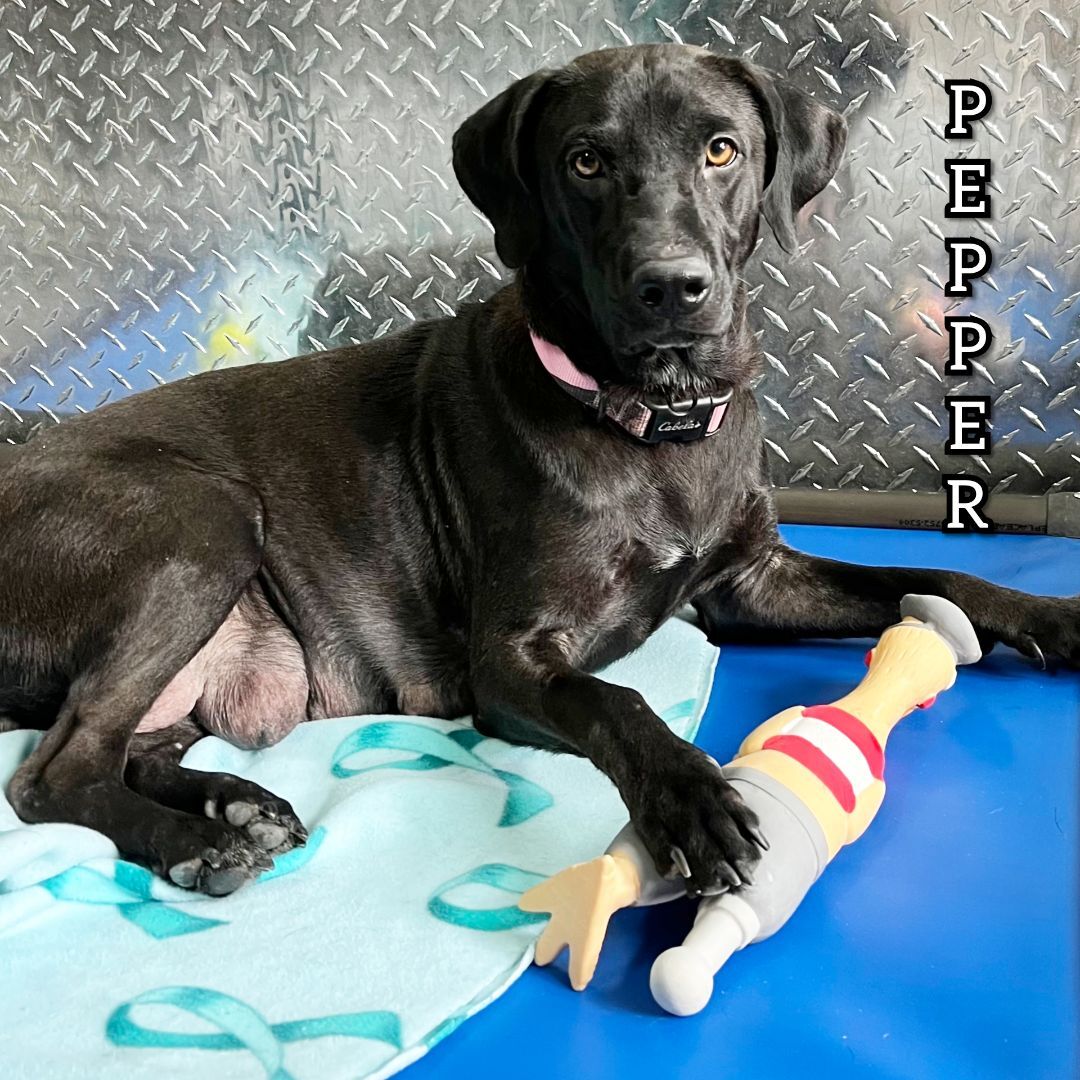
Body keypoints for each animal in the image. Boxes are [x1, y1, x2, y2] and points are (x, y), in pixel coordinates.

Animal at [2, 44, 1080, 894]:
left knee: (121, 746)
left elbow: (934, 575)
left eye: (722, 149)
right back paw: (197, 842)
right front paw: (690, 795)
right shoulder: (511, 658)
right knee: (52, 773)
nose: (673, 287)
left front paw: (1051, 616)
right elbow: (618, 700)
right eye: (586, 160)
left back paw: (234, 803)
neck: (653, 426)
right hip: (203, 524)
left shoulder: (751, 579)